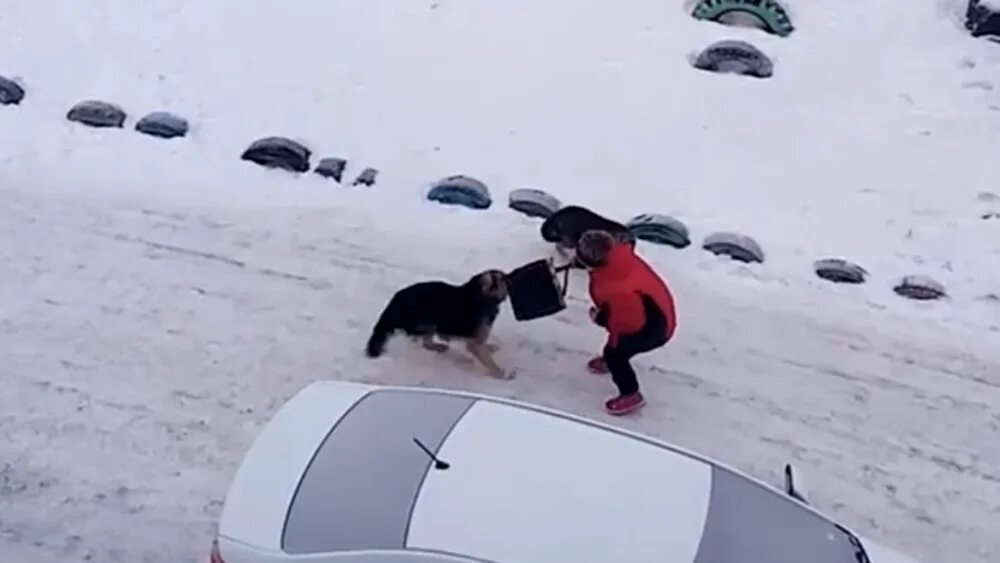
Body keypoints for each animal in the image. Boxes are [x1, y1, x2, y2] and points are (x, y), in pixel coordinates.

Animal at [366, 270, 512, 378]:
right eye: (502, 278)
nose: (509, 274)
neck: (478, 294)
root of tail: (394, 301)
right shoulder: (474, 343)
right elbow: (487, 359)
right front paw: (500, 373)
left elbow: (484, 348)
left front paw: (490, 349)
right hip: (428, 321)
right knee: (421, 339)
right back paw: (438, 342)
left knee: (425, 341)